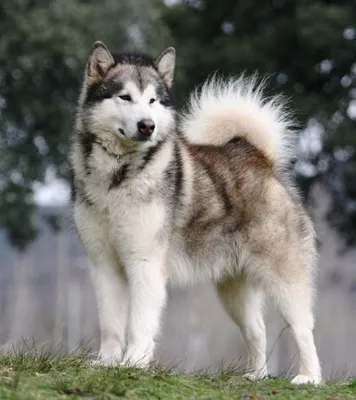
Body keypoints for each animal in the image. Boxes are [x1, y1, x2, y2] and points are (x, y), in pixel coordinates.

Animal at [70, 40, 322, 384]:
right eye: (125, 97)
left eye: (152, 100)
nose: (147, 125)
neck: (118, 176)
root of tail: (258, 158)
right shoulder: (103, 265)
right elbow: (110, 324)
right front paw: (107, 362)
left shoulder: (145, 264)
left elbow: (139, 323)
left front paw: (133, 363)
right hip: (234, 291)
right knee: (257, 330)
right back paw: (254, 376)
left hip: (283, 279)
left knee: (303, 329)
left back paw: (309, 377)